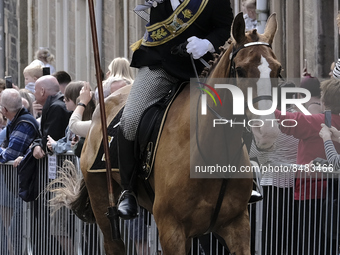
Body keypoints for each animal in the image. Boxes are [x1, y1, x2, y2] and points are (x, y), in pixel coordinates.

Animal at [50, 12, 278, 255]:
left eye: (279, 70)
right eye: (241, 70)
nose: (267, 132)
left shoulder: (236, 226)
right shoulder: (172, 230)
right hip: (102, 200)